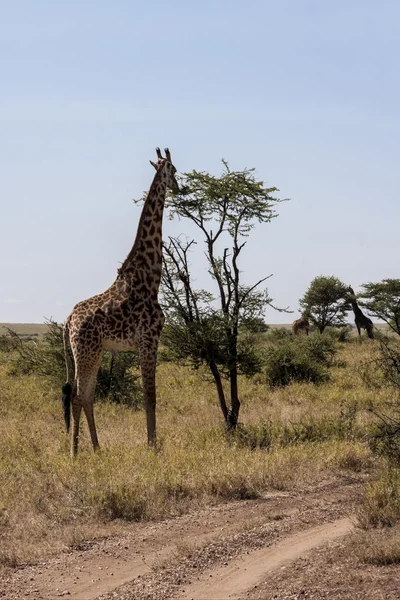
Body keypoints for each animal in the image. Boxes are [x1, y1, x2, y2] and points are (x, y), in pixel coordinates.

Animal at [61, 149, 180, 454]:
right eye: (174, 170)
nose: (179, 188)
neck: (150, 278)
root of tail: (68, 321)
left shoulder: (143, 343)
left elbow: (148, 396)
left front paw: (151, 444)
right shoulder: (149, 339)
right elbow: (150, 397)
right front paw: (152, 447)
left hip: (93, 351)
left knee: (86, 396)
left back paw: (96, 448)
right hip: (86, 351)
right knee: (78, 396)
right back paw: (75, 452)